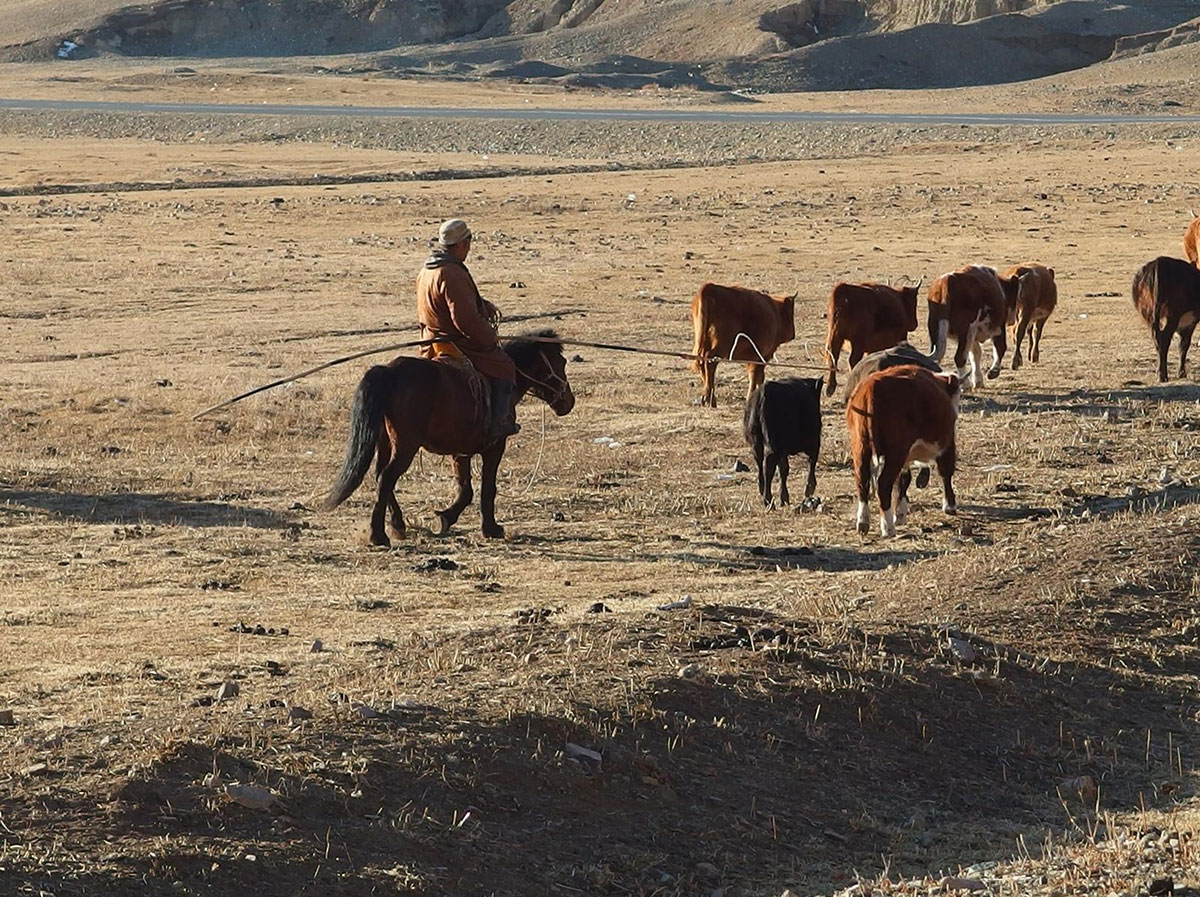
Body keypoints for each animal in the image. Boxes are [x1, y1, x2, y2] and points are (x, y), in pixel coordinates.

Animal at [320, 330, 574, 545]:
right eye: (561, 363)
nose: (568, 402)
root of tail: (390, 371)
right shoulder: (495, 446)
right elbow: (487, 488)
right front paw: (491, 529)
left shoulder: (460, 451)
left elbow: (465, 488)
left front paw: (445, 518)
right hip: (405, 445)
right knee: (386, 477)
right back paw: (378, 535)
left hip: (385, 441)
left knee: (380, 476)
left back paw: (397, 525)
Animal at [743, 376, 822, 508]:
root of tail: (764, 393)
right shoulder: (814, 442)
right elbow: (810, 464)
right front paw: (809, 488)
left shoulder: (783, 450)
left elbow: (783, 469)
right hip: (774, 444)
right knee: (769, 466)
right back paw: (768, 500)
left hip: (755, 441)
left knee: (760, 463)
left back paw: (764, 493)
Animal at [846, 365, 960, 537]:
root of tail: (872, 386)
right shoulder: (947, 443)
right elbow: (946, 471)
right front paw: (949, 505)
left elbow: (904, 479)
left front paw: (900, 513)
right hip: (896, 450)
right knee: (883, 484)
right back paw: (888, 527)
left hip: (860, 446)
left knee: (862, 481)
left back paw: (863, 522)